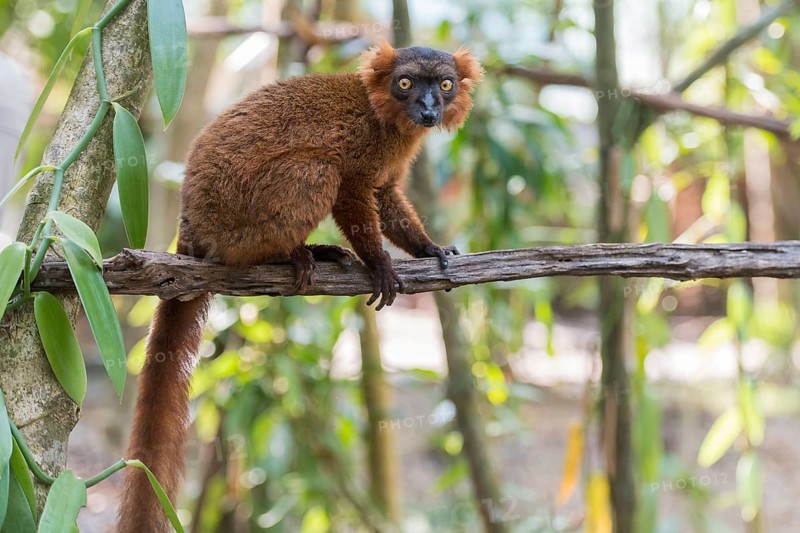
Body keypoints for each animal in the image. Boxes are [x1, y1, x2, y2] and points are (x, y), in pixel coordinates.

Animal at [117, 41, 482, 532]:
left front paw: (428, 248)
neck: (388, 119)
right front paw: (380, 264)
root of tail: (192, 224)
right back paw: (285, 254)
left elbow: (385, 196)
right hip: (238, 225)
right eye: (406, 83)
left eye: (444, 85)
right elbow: (352, 190)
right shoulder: (362, 144)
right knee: (318, 169)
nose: (427, 109)